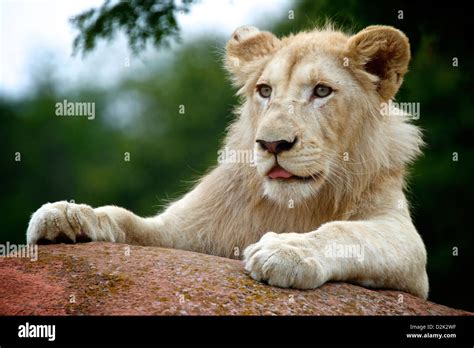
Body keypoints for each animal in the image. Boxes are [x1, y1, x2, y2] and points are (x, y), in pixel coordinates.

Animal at [25, 25, 430, 300]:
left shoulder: (407, 246)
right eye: (265, 91)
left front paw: (287, 250)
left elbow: (347, 232)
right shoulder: (184, 232)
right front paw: (69, 215)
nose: (272, 143)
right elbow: (125, 220)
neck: (292, 205)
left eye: (321, 91)